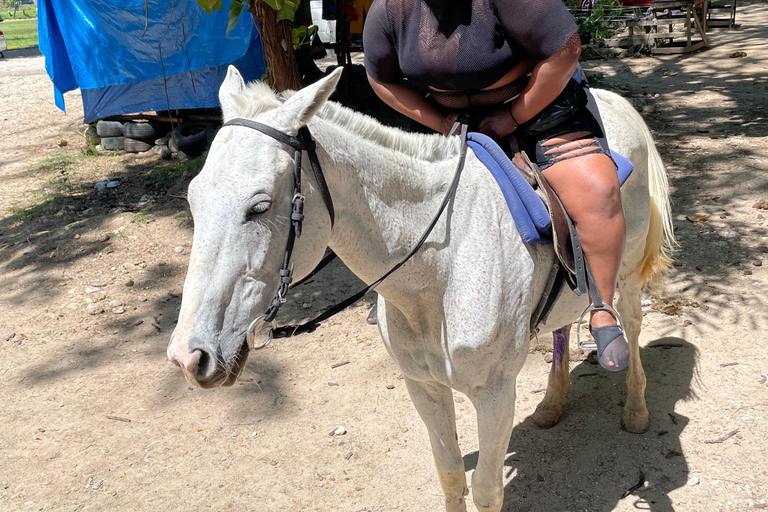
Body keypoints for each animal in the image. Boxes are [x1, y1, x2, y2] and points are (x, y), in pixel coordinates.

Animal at [166, 68, 672, 512]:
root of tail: (614, 100)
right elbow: (450, 476)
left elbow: (487, 489)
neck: (440, 269)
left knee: (631, 324)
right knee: (562, 327)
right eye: (193, 198)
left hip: (627, 278)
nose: (188, 356)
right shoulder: (423, 387)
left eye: (260, 205)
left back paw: (636, 409)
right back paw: (551, 403)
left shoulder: (494, 395)